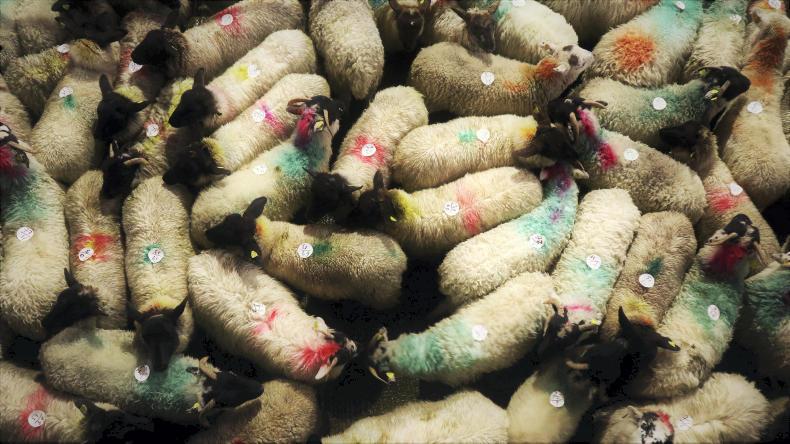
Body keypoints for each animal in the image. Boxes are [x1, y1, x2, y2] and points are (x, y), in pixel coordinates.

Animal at [206, 197, 408, 310]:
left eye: (232, 237)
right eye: (226, 220)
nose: (206, 233)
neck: (273, 239)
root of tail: (400, 262)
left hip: (382, 297)